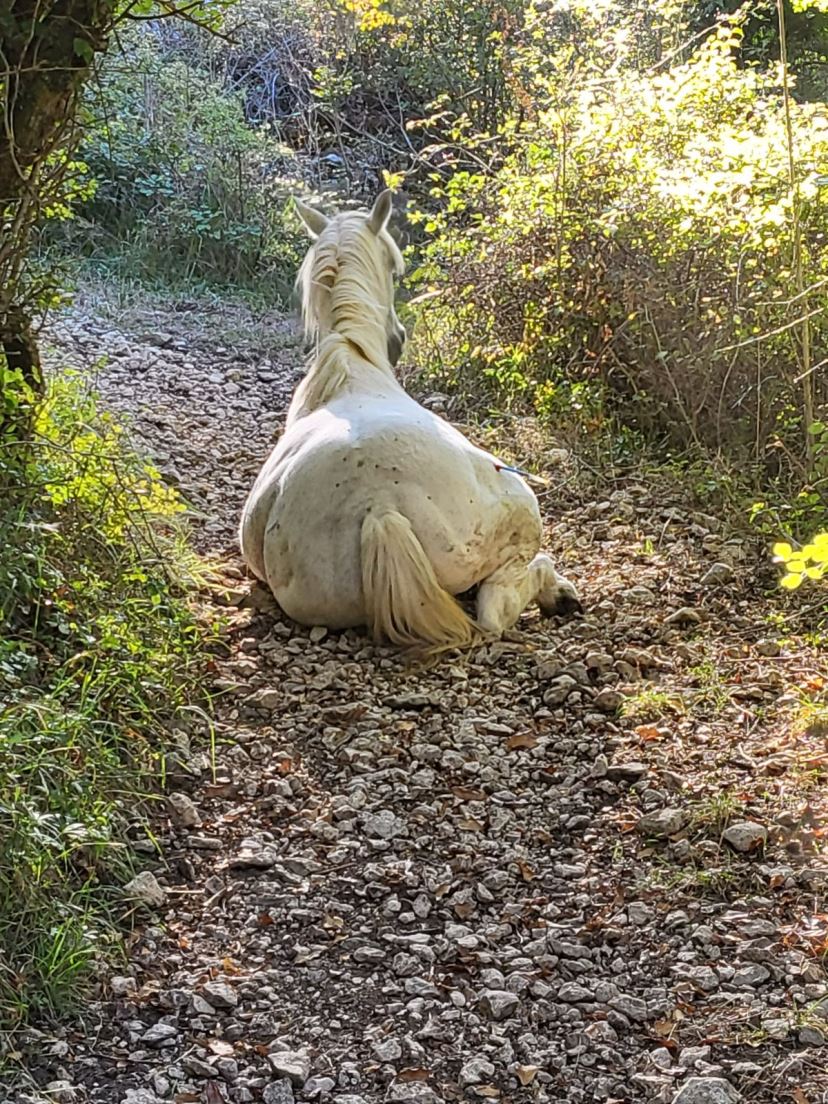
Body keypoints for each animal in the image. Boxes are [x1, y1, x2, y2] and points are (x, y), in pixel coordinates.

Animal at [236, 190, 578, 649]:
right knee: (497, 606)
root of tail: (379, 505)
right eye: (395, 269)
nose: (399, 339)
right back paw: (559, 593)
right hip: (519, 503)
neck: (352, 366)